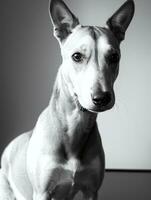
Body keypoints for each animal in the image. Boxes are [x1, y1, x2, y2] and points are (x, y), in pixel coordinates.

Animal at [0, 0, 134, 199]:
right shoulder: (42, 192)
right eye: (77, 56)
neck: (75, 123)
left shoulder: (91, 190)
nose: (101, 98)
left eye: (114, 57)